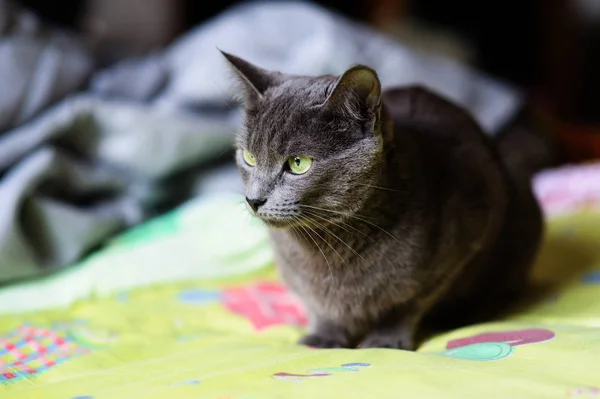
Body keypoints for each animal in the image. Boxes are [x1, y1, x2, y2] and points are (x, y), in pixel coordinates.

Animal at [223, 51, 548, 352]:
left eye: (298, 163)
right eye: (249, 157)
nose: (254, 199)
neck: (328, 248)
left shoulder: (465, 244)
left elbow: (406, 304)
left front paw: (385, 341)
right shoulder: (298, 278)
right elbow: (320, 307)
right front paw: (323, 338)